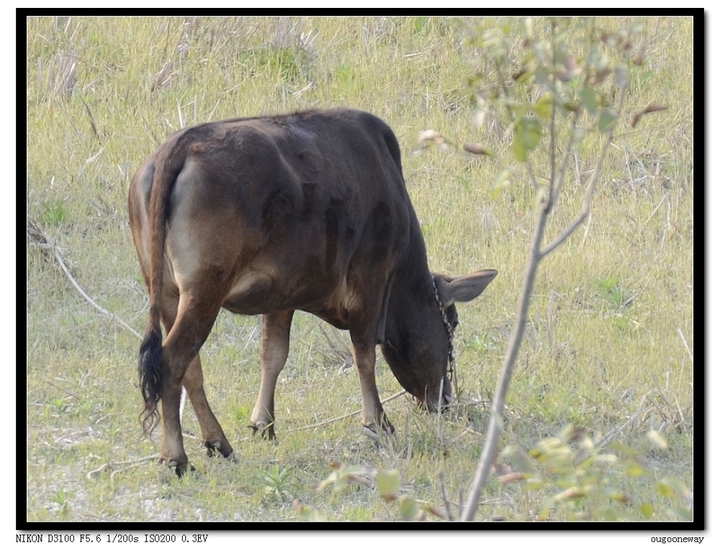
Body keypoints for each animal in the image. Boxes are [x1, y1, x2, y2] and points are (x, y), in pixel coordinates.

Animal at [128, 107, 496, 472]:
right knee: (173, 361)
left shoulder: (282, 295)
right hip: (205, 290)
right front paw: (377, 422)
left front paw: (263, 423)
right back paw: (176, 457)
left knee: (191, 369)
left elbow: (273, 355)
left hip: (168, 293)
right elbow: (364, 354)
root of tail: (180, 144)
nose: (445, 401)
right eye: (453, 324)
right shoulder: (370, 277)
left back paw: (218, 442)